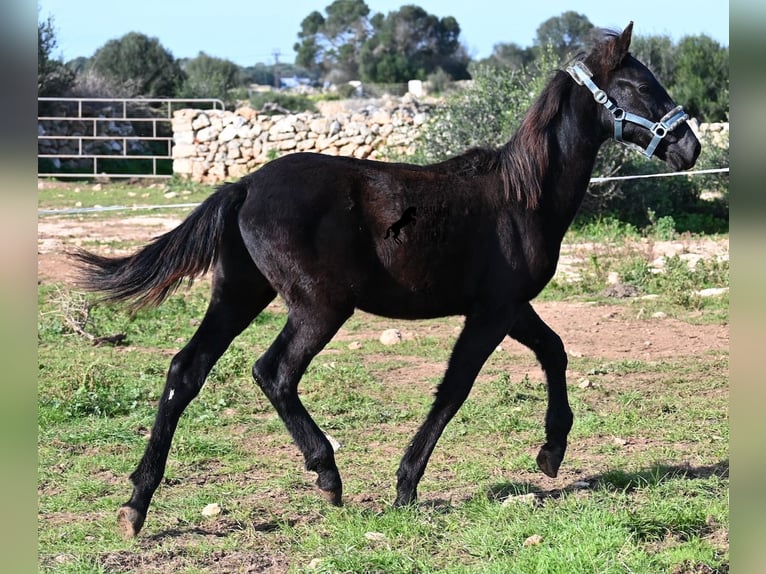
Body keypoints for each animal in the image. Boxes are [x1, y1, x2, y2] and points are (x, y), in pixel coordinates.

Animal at [73, 23, 704, 540]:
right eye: (638, 86)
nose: (689, 146)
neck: (521, 196)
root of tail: (245, 185)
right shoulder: (493, 312)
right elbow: (455, 388)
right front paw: (406, 484)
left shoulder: (510, 307)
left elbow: (555, 350)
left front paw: (551, 452)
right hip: (320, 307)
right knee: (273, 372)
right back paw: (327, 474)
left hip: (241, 293)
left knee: (186, 370)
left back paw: (136, 504)